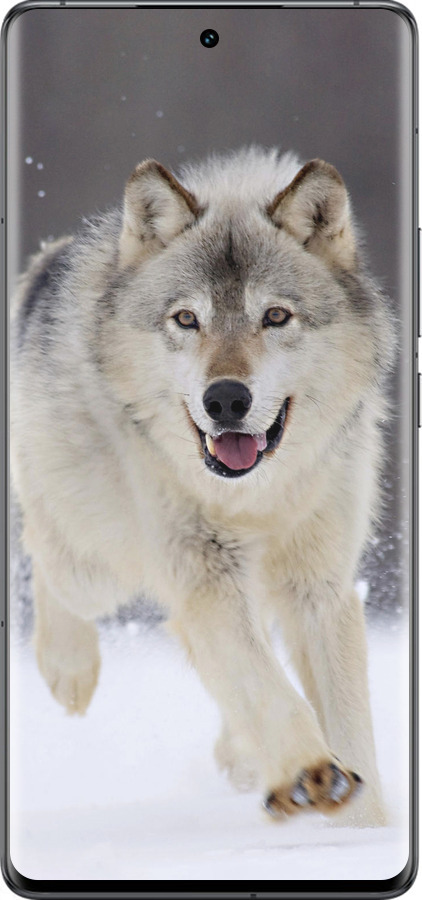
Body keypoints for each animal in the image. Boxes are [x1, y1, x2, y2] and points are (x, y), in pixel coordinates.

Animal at [11, 147, 394, 826]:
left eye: (275, 316)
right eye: (187, 319)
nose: (226, 400)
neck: (255, 497)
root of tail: (50, 260)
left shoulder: (319, 587)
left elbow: (347, 722)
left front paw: (363, 826)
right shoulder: (204, 573)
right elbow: (265, 685)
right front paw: (310, 773)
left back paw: (241, 757)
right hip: (98, 566)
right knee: (45, 555)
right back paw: (68, 671)